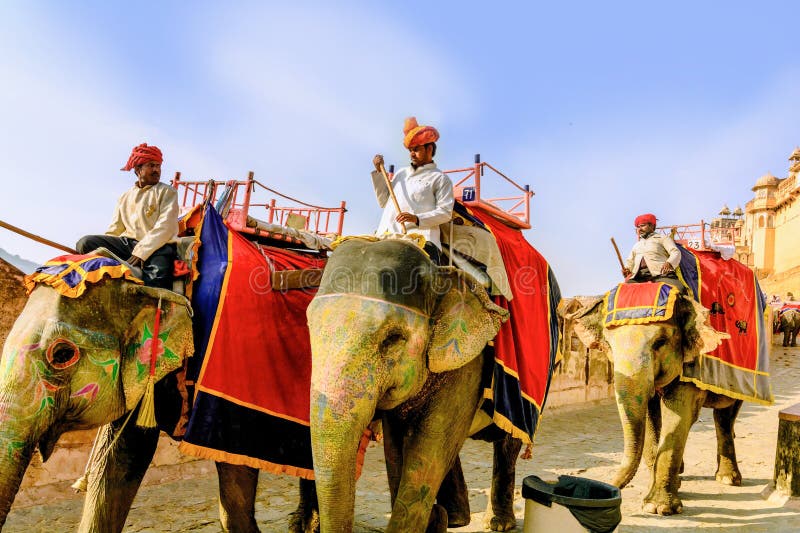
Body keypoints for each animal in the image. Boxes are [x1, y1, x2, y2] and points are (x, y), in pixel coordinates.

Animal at [306, 239, 524, 528]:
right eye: (310, 326)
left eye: (393, 338)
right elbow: (395, 446)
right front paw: (434, 519)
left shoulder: (470, 365)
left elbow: (428, 447)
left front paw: (428, 519)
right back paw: (455, 518)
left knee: (507, 444)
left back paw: (496, 523)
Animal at [560, 286, 748, 516]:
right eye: (609, 345)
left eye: (660, 343)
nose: (608, 490)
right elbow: (650, 416)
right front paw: (660, 490)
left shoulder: (691, 362)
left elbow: (678, 416)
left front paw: (658, 508)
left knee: (725, 415)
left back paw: (727, 479)